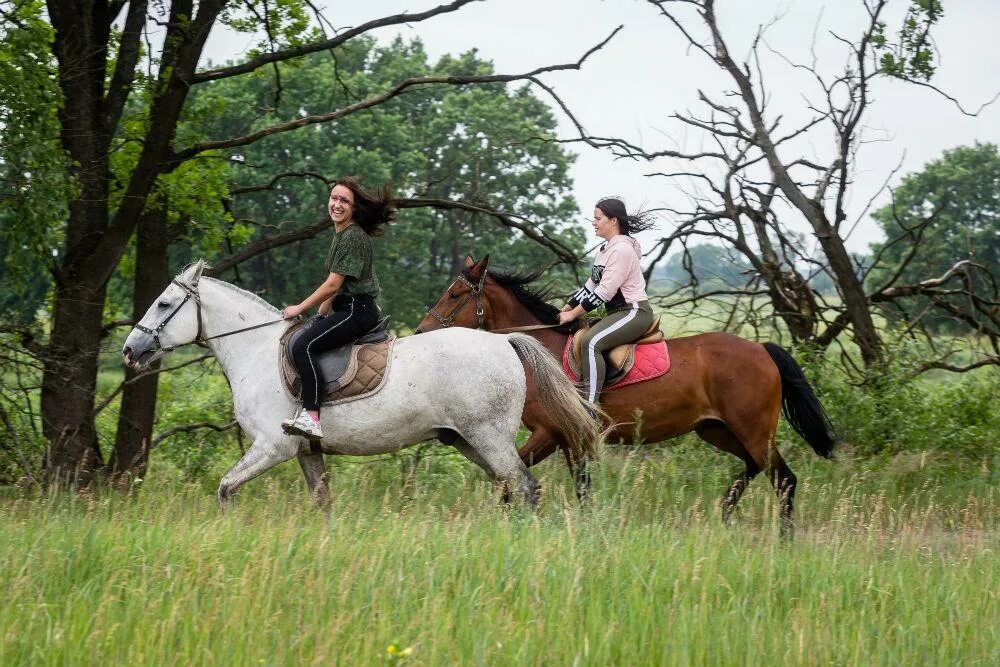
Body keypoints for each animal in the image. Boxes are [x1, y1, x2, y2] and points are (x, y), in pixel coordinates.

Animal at [121, 260, 596, 506]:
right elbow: (322, 501)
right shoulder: (305, 452)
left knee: (524, 486)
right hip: (467, 440)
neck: (255, 351)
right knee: (510, 485)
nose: (130, 350)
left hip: (489, 437)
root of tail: (504, 343)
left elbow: (225, 488)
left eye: (163, 303)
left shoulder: (272, 447)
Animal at [414, 254, 836, 532]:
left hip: (751, 429)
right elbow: (574, 486)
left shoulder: (552, 433)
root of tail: (762, 348)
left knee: (783, 478)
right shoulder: (568, 439)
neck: (538, 352)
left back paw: (781, 539)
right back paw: (725, 512)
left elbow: (511, 477)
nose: (419, 333)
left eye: (455, 294)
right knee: (756, 467)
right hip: (717, 430)